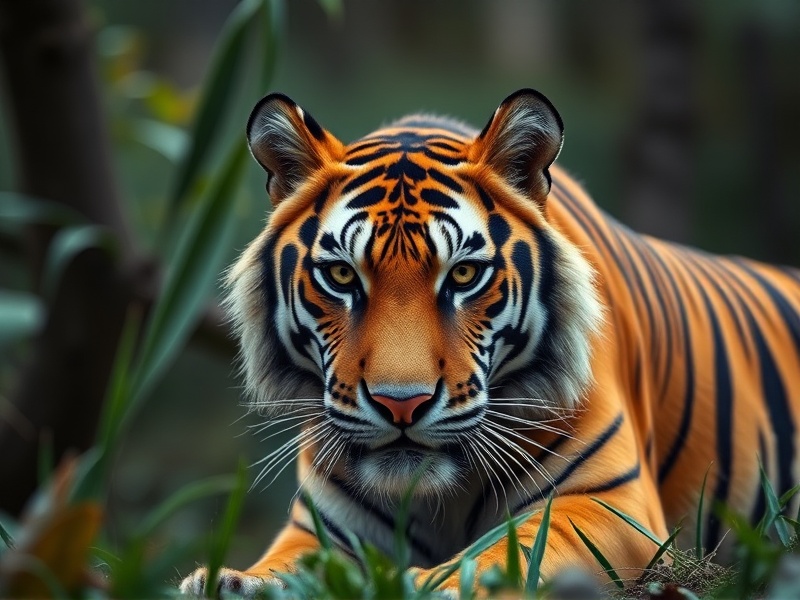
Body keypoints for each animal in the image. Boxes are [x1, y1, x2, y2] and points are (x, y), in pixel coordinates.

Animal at [179, 88, 800, 595]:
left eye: (462, 275)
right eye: (340, 276)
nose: (400, 404)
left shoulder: (611, 504)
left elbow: (512, 549)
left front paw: (441, 582)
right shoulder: (322, 529)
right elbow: (291, 567)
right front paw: (232, 582)